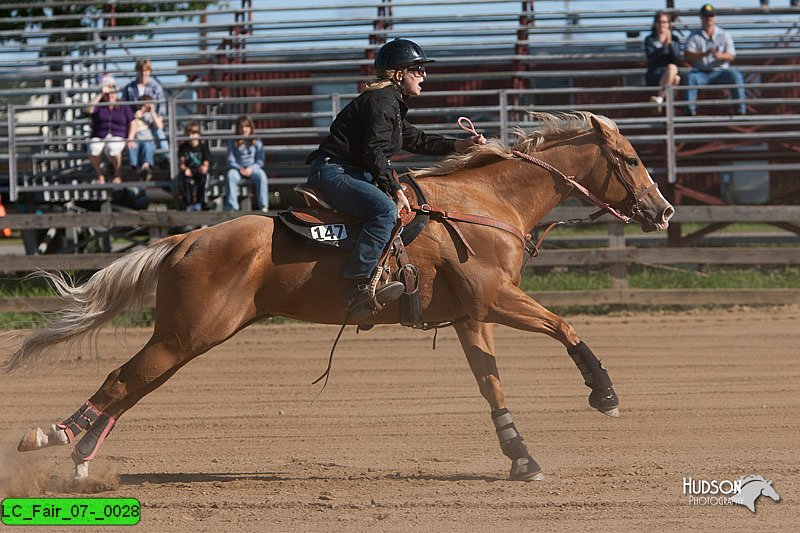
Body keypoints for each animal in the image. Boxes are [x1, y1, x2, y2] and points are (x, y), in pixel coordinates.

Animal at [6, 112, 672, 482]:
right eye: (631, 158)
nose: (664, 211)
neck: (485, 203)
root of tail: (187, 238)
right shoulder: (498, 298)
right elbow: (565, 328)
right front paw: (604, 394)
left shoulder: (471, 315)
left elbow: (491, 384)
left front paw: (521, 458)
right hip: (187, 334)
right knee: (122, 379)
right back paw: (53, 439)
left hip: (185, 338)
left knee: (132, 385)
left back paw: (81, 458)